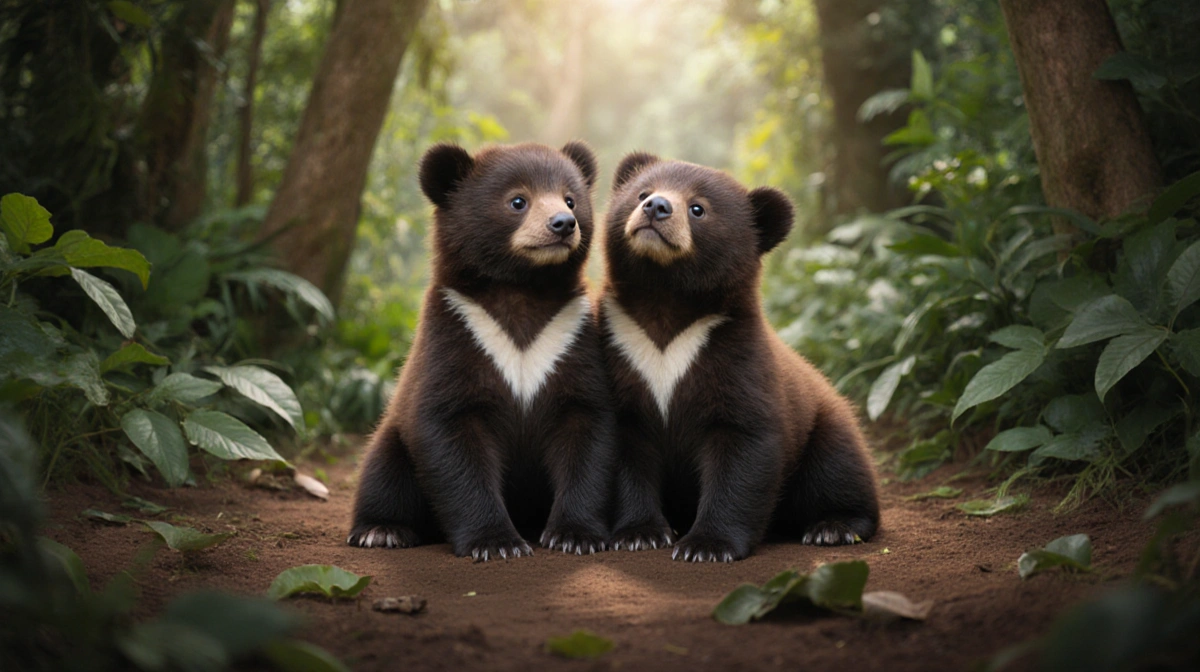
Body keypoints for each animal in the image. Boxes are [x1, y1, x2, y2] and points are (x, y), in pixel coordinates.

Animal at [348, 141, 614, 561]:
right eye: (518, 200)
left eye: (571, 199)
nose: (563, 223)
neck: (521, 288)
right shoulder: (459, 330)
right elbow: (450, 430)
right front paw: (496, 543)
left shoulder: (568, 336)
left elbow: (587, 422)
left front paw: (575, 536)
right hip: (393, 435)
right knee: (382, 466)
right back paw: (382, 530)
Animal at [598, 153, 880, 562]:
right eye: (642, 192)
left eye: (698, 208)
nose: (656, 207)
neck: (667, 302)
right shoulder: (623, 348)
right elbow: (624, 446)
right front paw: (640, 534)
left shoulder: (733, 351)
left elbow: (744, 441)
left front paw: (705, 546)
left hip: (825, 425)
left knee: (839, 469)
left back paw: (834, 527)